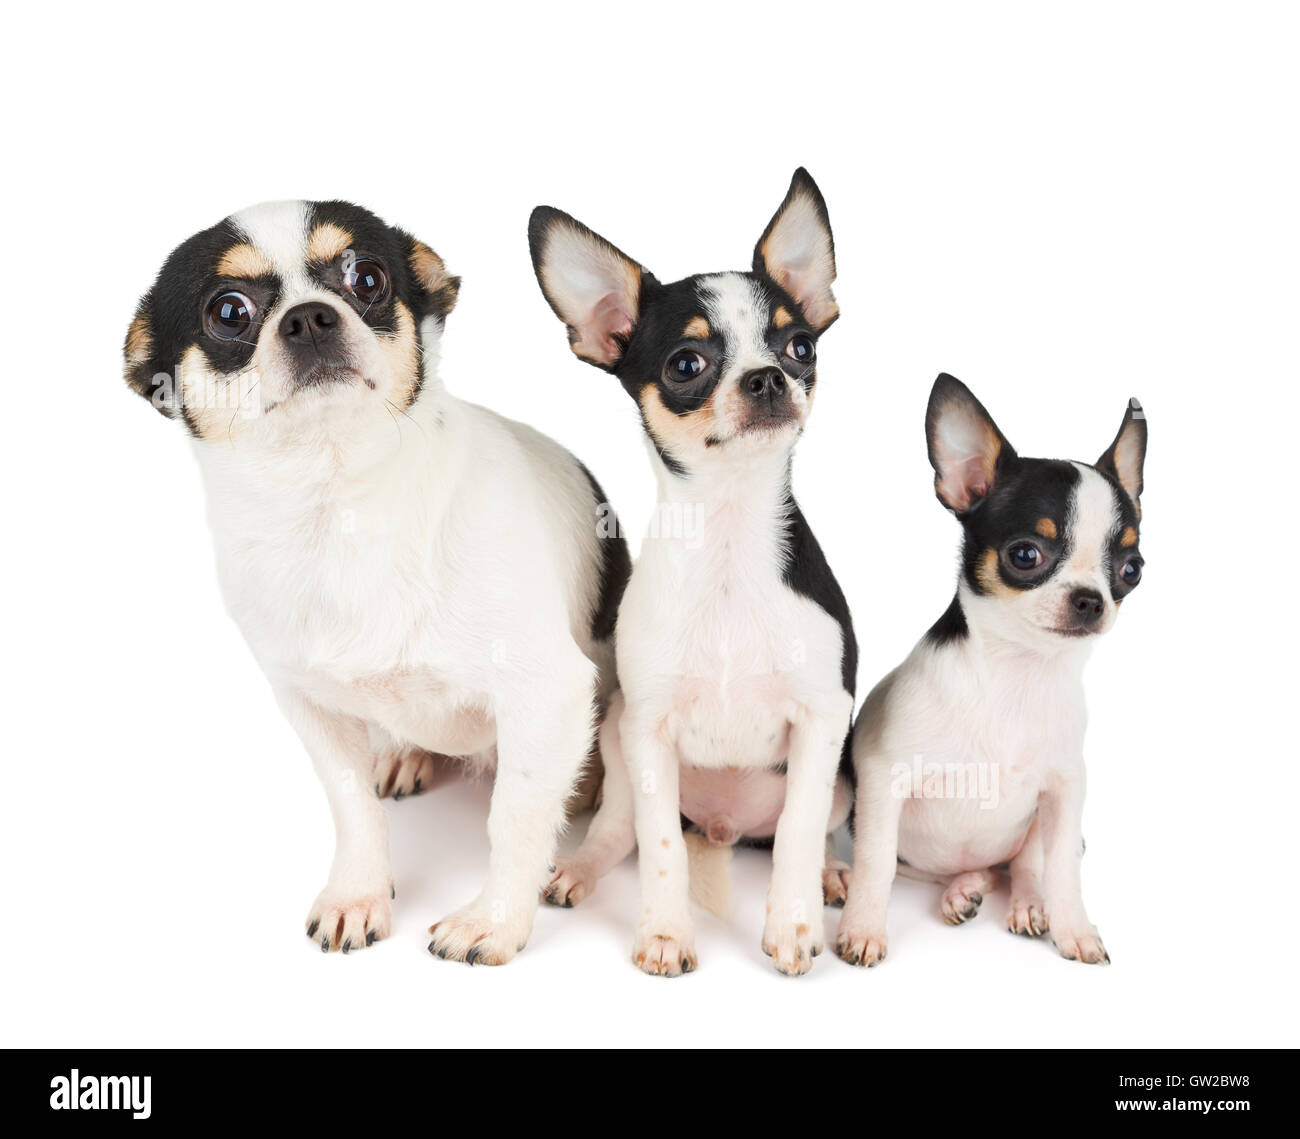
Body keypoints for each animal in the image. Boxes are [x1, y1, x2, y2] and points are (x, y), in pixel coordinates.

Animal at [126, 202, 629, 962]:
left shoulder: (545, 695)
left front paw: (494, 920)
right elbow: (352, 806)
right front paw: (357, 894)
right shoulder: (311, 708)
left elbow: (513, 820)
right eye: (228, 312)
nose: (309, 317)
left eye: (367, 279)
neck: (341, 508)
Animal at [527, 171, 863, 977]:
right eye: (687, 363)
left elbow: (797, 832)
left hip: (841, 776)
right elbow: (660, 847)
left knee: (796, 833)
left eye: (800, 345)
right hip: (617, 738)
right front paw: (663, 932)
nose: (769, 377)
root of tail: (724, 825)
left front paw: (793, 923)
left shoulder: (821, 721)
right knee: (624, 830)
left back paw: (833, 875)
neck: (729, 548)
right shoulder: (649, 731)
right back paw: (579, 868)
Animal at [832, 377, 1149, 967]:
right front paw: (862, 929)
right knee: (948, 871)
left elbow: (1063, 872)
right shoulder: (886, 784)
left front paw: (1075, 929)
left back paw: (1020, 902)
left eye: (1131, 569)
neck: (1016, 675)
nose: (1091, 599)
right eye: (1025, 555)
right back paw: (962, 890)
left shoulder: (1065, 790)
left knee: (1022, 866)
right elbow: (875, 865)